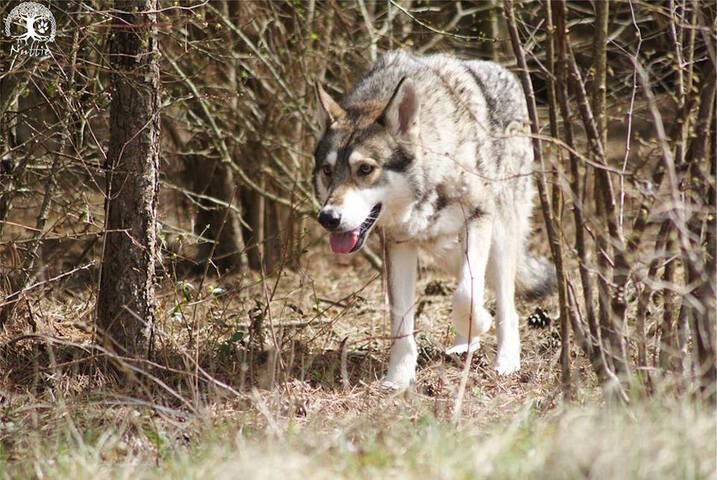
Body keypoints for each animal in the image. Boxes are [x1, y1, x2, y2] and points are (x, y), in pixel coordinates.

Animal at [313, 50, 555, 389]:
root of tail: (505, 73)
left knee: (504, 300)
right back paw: (464, 345)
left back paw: (506, 360)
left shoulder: (479, 219)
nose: (328, 218)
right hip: (443, 247)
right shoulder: (399, 243)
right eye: (327, 170)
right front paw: (399, 380)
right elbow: (401, 321)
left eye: (365, 169)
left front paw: (481, 321)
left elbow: (466, 296)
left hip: (499, 233)